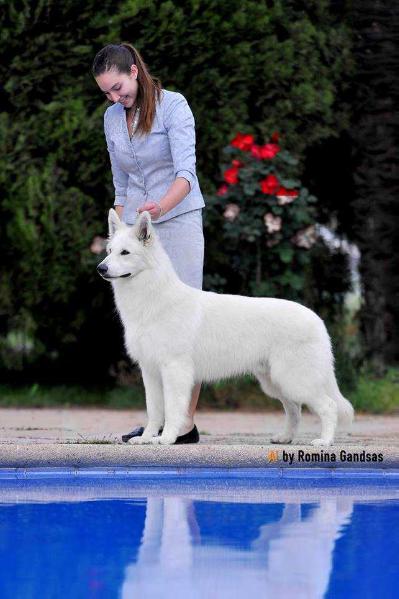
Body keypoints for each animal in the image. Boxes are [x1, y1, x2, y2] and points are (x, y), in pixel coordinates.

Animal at [98, 209, 354, 448]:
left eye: (125, 252)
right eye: (109, 250)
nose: (101, 268)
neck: (153, 298)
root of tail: (317, 320)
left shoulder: (174, 370)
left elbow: (172, 409)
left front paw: (167, 438)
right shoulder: (150, 371)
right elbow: (154, 410)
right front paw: (146, 438)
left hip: (295, 379)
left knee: (328, 406)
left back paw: (324, 441)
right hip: (276, 382)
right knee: (294, 410)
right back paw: (285, 438)